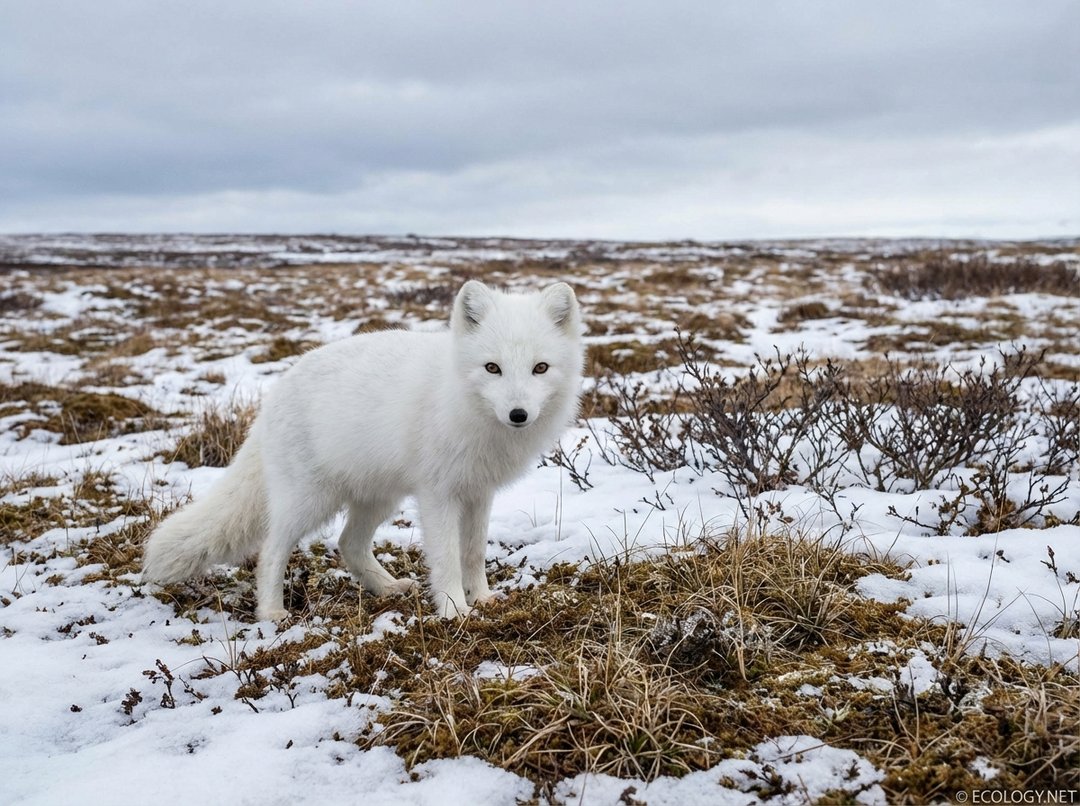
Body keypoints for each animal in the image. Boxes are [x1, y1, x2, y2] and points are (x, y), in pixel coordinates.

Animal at [143, 280, 585, 620]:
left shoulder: (479, 491)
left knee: (348, 544)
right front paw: (454, 610)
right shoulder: (438, 493)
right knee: (271, 550)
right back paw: (271, 612)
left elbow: (473, 553)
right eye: (492, 368)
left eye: (540, 368)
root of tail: (273, 395)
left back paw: (387, 588)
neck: (463, 403)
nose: (518, 414)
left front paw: (484, 598)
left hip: (379, 497)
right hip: (310, 500)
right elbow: (446, 557)